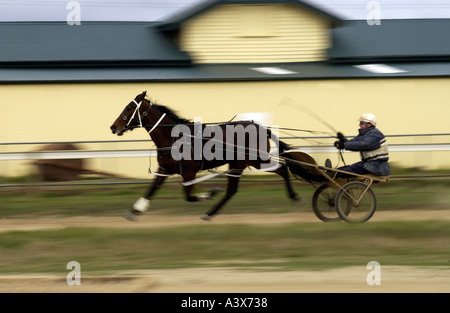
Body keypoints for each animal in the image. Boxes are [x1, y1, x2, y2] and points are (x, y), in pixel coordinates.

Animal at [109, 91, 300, 221]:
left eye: (129, 108)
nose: (113, 127)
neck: (174, 137)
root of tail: (259, 127)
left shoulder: (189, 171)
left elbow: (189, 196)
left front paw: (211, 192)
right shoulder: (164, 169)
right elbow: (152, 189)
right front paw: (134, 210)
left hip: (253, 160)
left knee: (282, 168)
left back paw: (293, 196)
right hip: (241, 163)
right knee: (235, 189)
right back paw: (210, 213)